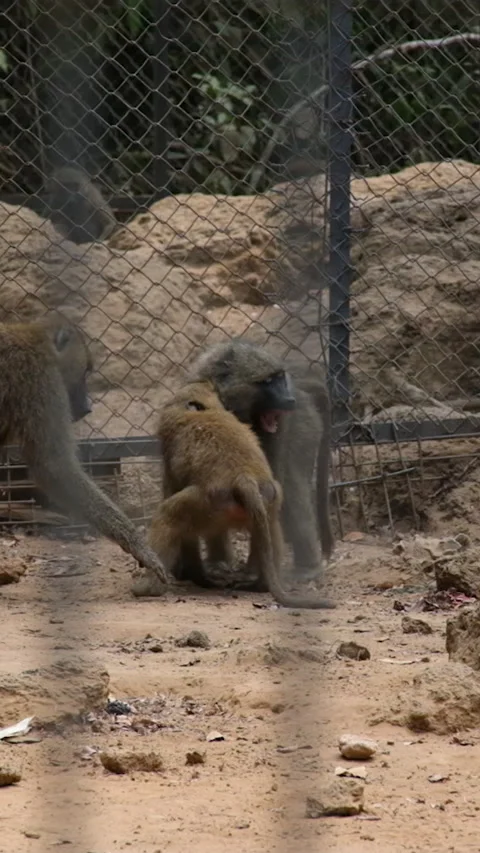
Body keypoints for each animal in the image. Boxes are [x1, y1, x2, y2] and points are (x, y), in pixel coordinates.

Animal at [134, 380, 335, 609]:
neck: (201, 412)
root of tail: (243, 478)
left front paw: (187, 574)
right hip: (266, 497)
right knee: (270, 525)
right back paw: (260, 585)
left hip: (208, 503)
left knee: (168, 515)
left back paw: (150, 587)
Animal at [175, 340, 334, 591]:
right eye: (267, 382)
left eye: (279, 377)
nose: (289, 400)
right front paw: (218, 563)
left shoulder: (281, 427)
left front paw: (253, 568)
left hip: (304, 424)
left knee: (291, 491)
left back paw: (307, 569)